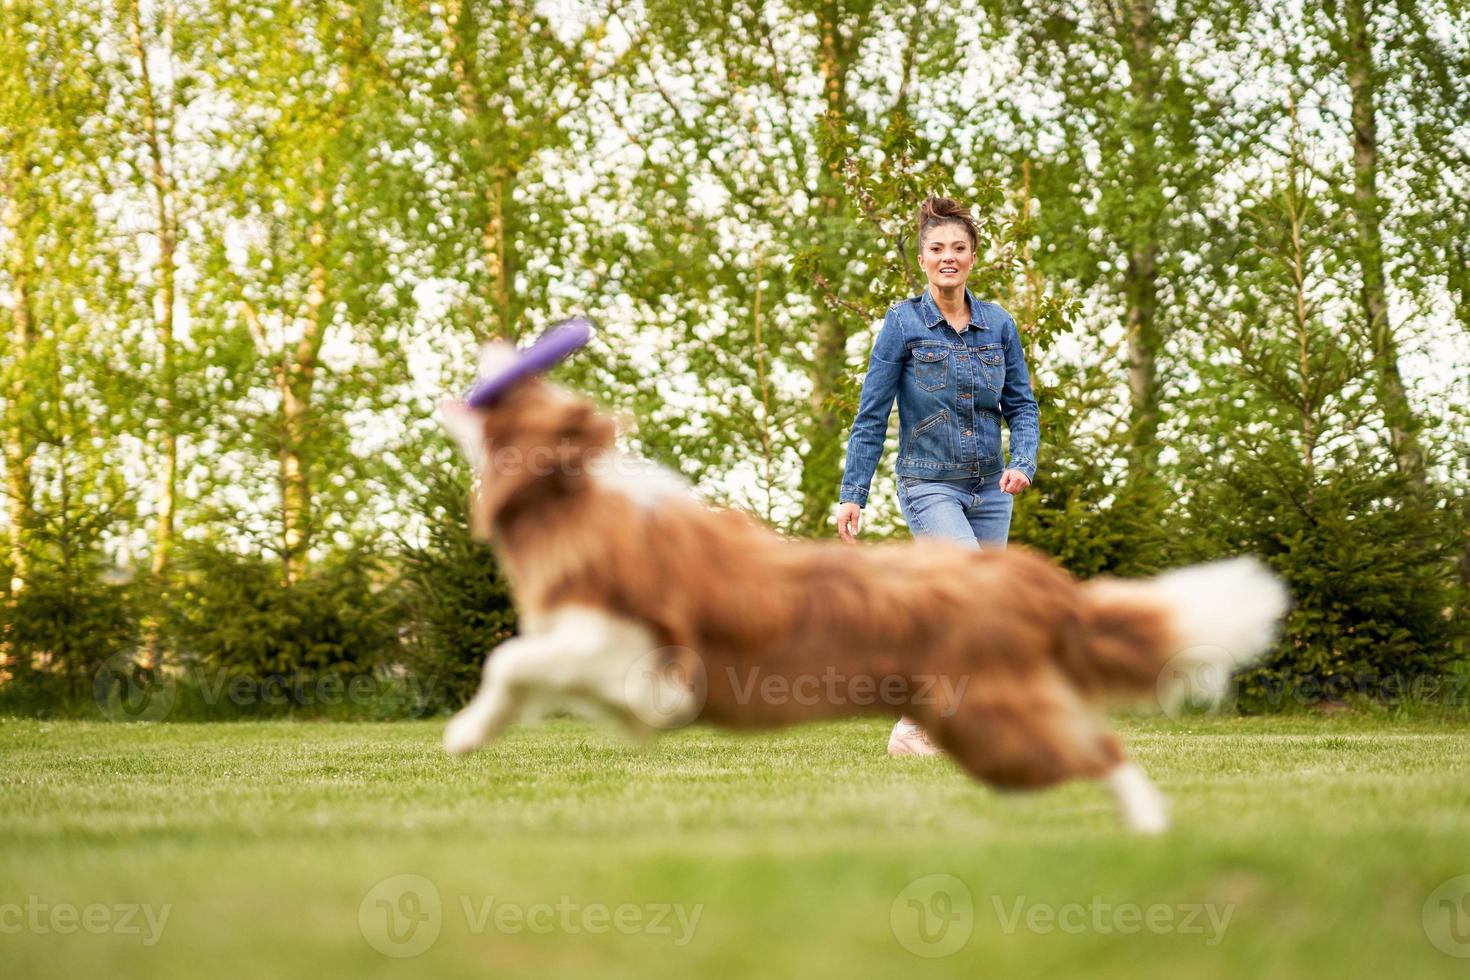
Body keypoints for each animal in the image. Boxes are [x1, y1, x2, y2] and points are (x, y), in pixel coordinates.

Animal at [435, 345, 1287, 834]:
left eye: (523, 386)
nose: (495, 344)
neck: (570, 503)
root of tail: (1036, 582)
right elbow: (530, 673)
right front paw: (477, 732)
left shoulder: (629, 642)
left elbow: (510, 658)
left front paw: (461, 731)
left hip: (993, 720)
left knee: (1104, 750)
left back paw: (1149, 829)